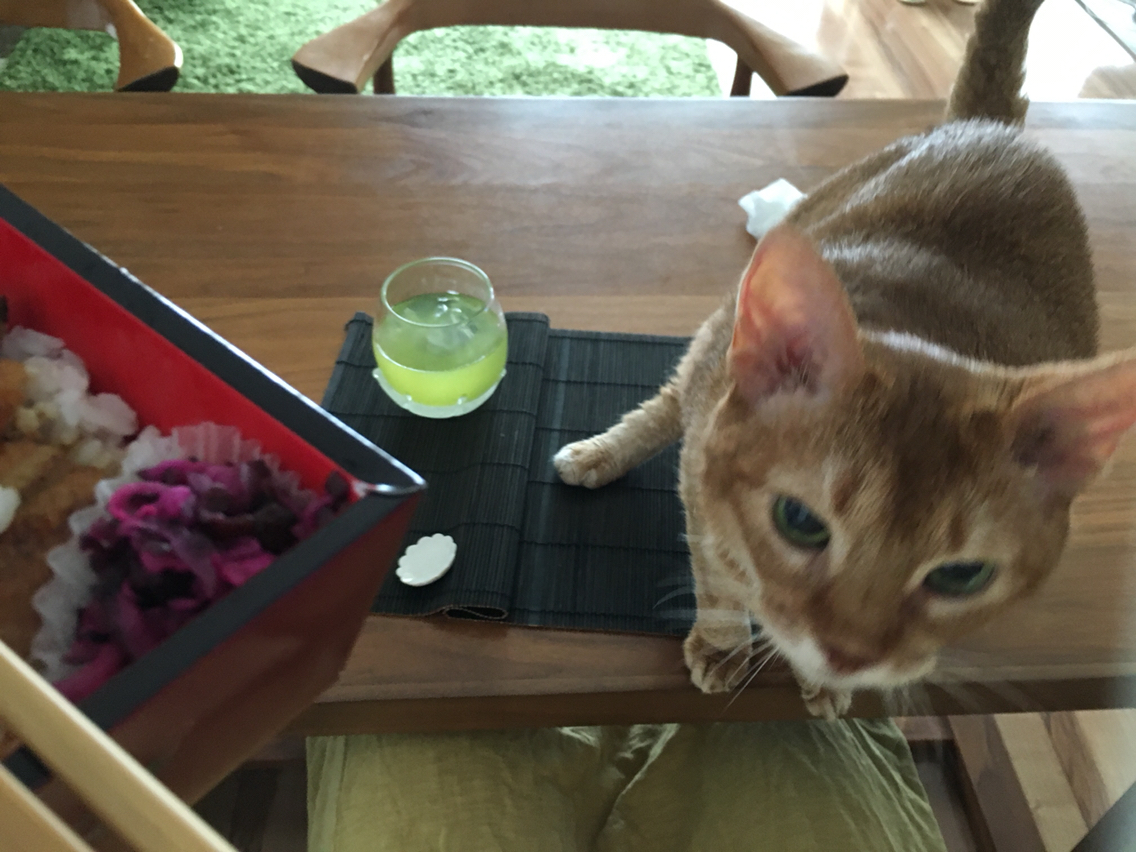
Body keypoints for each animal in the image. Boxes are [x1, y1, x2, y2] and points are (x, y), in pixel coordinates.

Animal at [553, 0, 1136, 719]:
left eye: (961, 576)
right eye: (801, 523)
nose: (852, 653)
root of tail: (992, 128)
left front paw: (829, 685)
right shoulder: (702, 480)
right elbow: (715, 574)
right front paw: (723, 643)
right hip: (732, 317)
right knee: (669, 401)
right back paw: (600, 454)